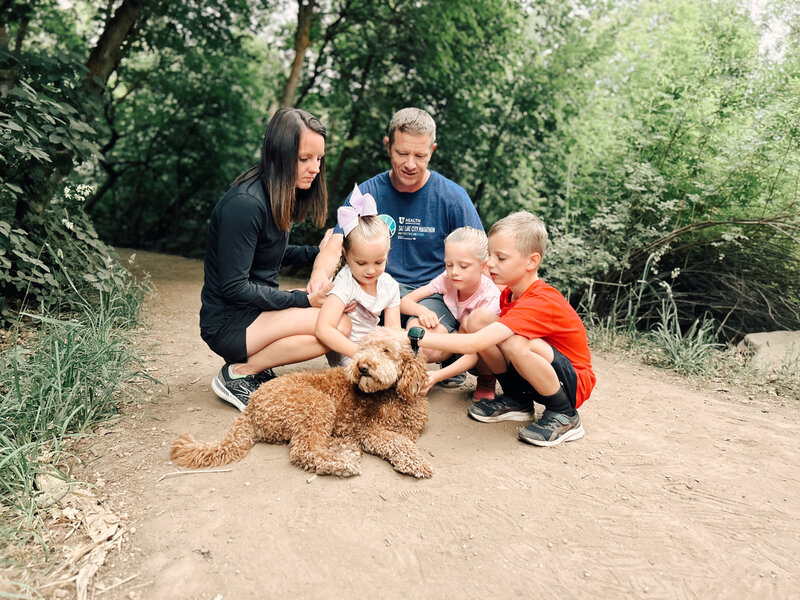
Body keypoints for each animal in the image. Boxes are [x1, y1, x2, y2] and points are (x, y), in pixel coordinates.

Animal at [168, 328, 432, 478]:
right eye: (363, 348)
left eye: (386, 351)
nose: (362, 366)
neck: (394, 394)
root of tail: (251, 406)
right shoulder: (369, 429)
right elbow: (399, 442)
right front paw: (417, 463)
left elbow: (403, 439)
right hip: (318, 404)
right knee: (305, 450)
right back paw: (340, 463)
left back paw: (344, 448)